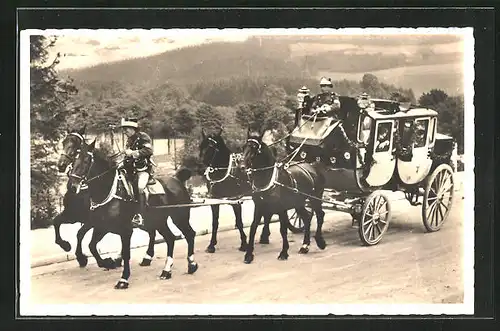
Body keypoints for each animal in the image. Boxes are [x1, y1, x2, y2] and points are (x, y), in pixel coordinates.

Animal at [67, 141, 199, 290]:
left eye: (85, 161)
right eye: (73, 161)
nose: (72, 186)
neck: (109, 191)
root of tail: (177, 179)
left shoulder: (125, 231)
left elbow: (125, 253)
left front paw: (123, 279)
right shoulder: (101, 227)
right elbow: (91, 245)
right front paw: (107, 262)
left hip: (179, 218)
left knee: (189, 234)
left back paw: (191, 264)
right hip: (158, 222)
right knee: (170, 238)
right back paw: (166, 270)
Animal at [239, 129, 328, 264]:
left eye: (254, 149)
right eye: (243, 147)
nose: (242, 167)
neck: (268, 179)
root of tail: (313, 166)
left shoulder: (281, 208)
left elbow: (283, 229)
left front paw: (284, 252)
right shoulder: (260, 206)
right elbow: (253, 227)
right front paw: (249, 254)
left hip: (315, 198)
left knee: (320, 215)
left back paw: (319, 241)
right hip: (299, 203)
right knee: (307, 218)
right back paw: (305, 245)